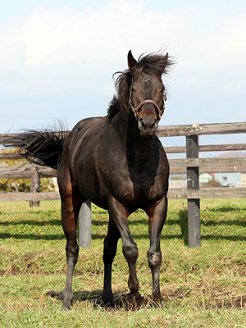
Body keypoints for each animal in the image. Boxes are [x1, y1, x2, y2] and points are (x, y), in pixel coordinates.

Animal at [4, 50, 173, 308]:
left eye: (161, 89)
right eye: (133, 89)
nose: (147, 123)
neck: (138, 160)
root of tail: (69, 141)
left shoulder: (158, 203)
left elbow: (153, 253)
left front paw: (156, 298)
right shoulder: (116, 204)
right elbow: (131, 249)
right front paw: (134, 293)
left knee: (108, 249)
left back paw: (107, 297)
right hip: (71, 201)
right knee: (72, 248)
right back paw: (67, 299)